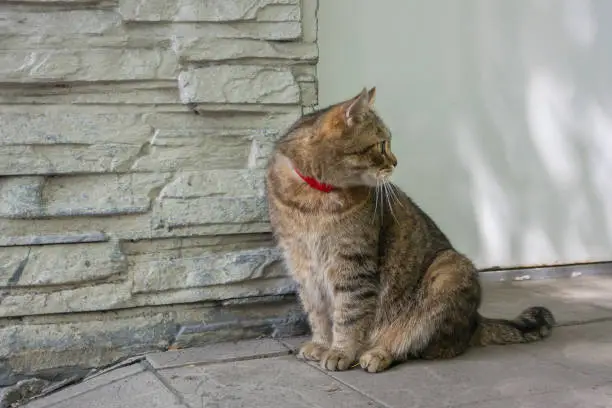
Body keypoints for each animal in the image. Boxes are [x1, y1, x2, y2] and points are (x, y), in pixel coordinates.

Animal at [264, 87, 556, 372]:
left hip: (449, 270)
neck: (314, 200)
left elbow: (348, 315)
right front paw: (321, 344)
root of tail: (476, 320)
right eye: (382, 144)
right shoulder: (302, 266)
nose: (395, 161)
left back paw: (379, 353)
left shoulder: (352, 264)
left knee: (422, 346)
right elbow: (318, 313)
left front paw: (340, 351)